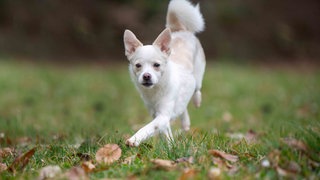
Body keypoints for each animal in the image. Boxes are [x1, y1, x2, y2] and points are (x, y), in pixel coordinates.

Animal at [122, 0, 205, 146]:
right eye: (138, 66)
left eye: (157, 65)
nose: (146, 76)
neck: (155, 90)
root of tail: (180, 30)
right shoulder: (158, 115)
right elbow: (164, 132)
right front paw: (171, 146)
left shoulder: (162, 116)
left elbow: (149, 127)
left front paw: (134, 139)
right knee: (183, 106)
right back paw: (185, 122)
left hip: (198, 76)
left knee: (197, 89)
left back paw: (197, 101)